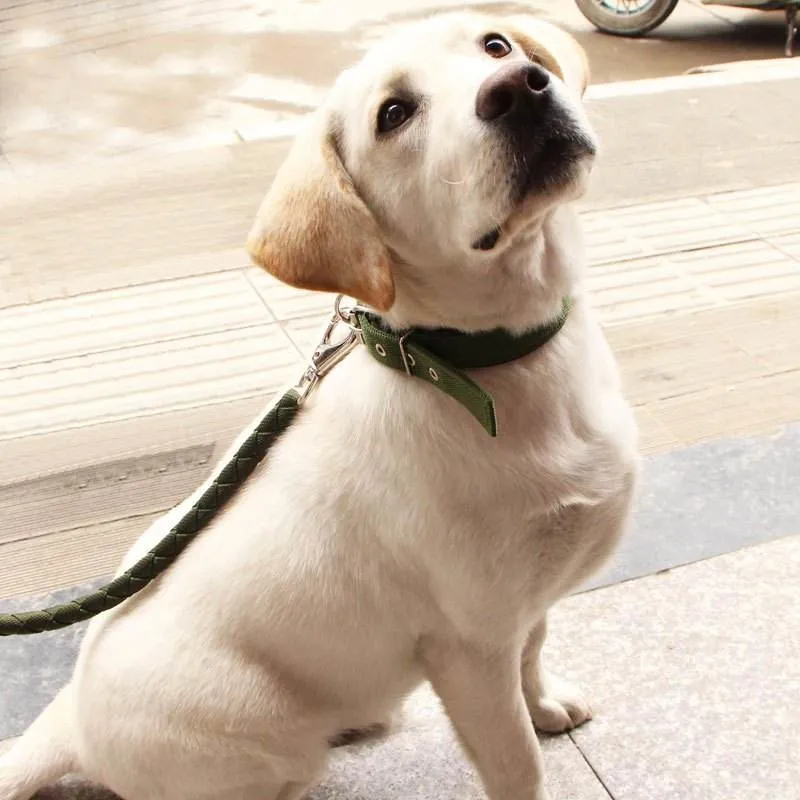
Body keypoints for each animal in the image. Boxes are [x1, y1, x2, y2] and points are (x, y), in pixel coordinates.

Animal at [0, 10, 636, 800]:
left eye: (496, 45)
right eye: (393, 115)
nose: (519, 87)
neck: (490, 364)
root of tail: (71, 723)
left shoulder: (523, 608)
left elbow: (536, 648)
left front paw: (546, 704)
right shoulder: (470, 645)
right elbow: (515, 760)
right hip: (262, 743)